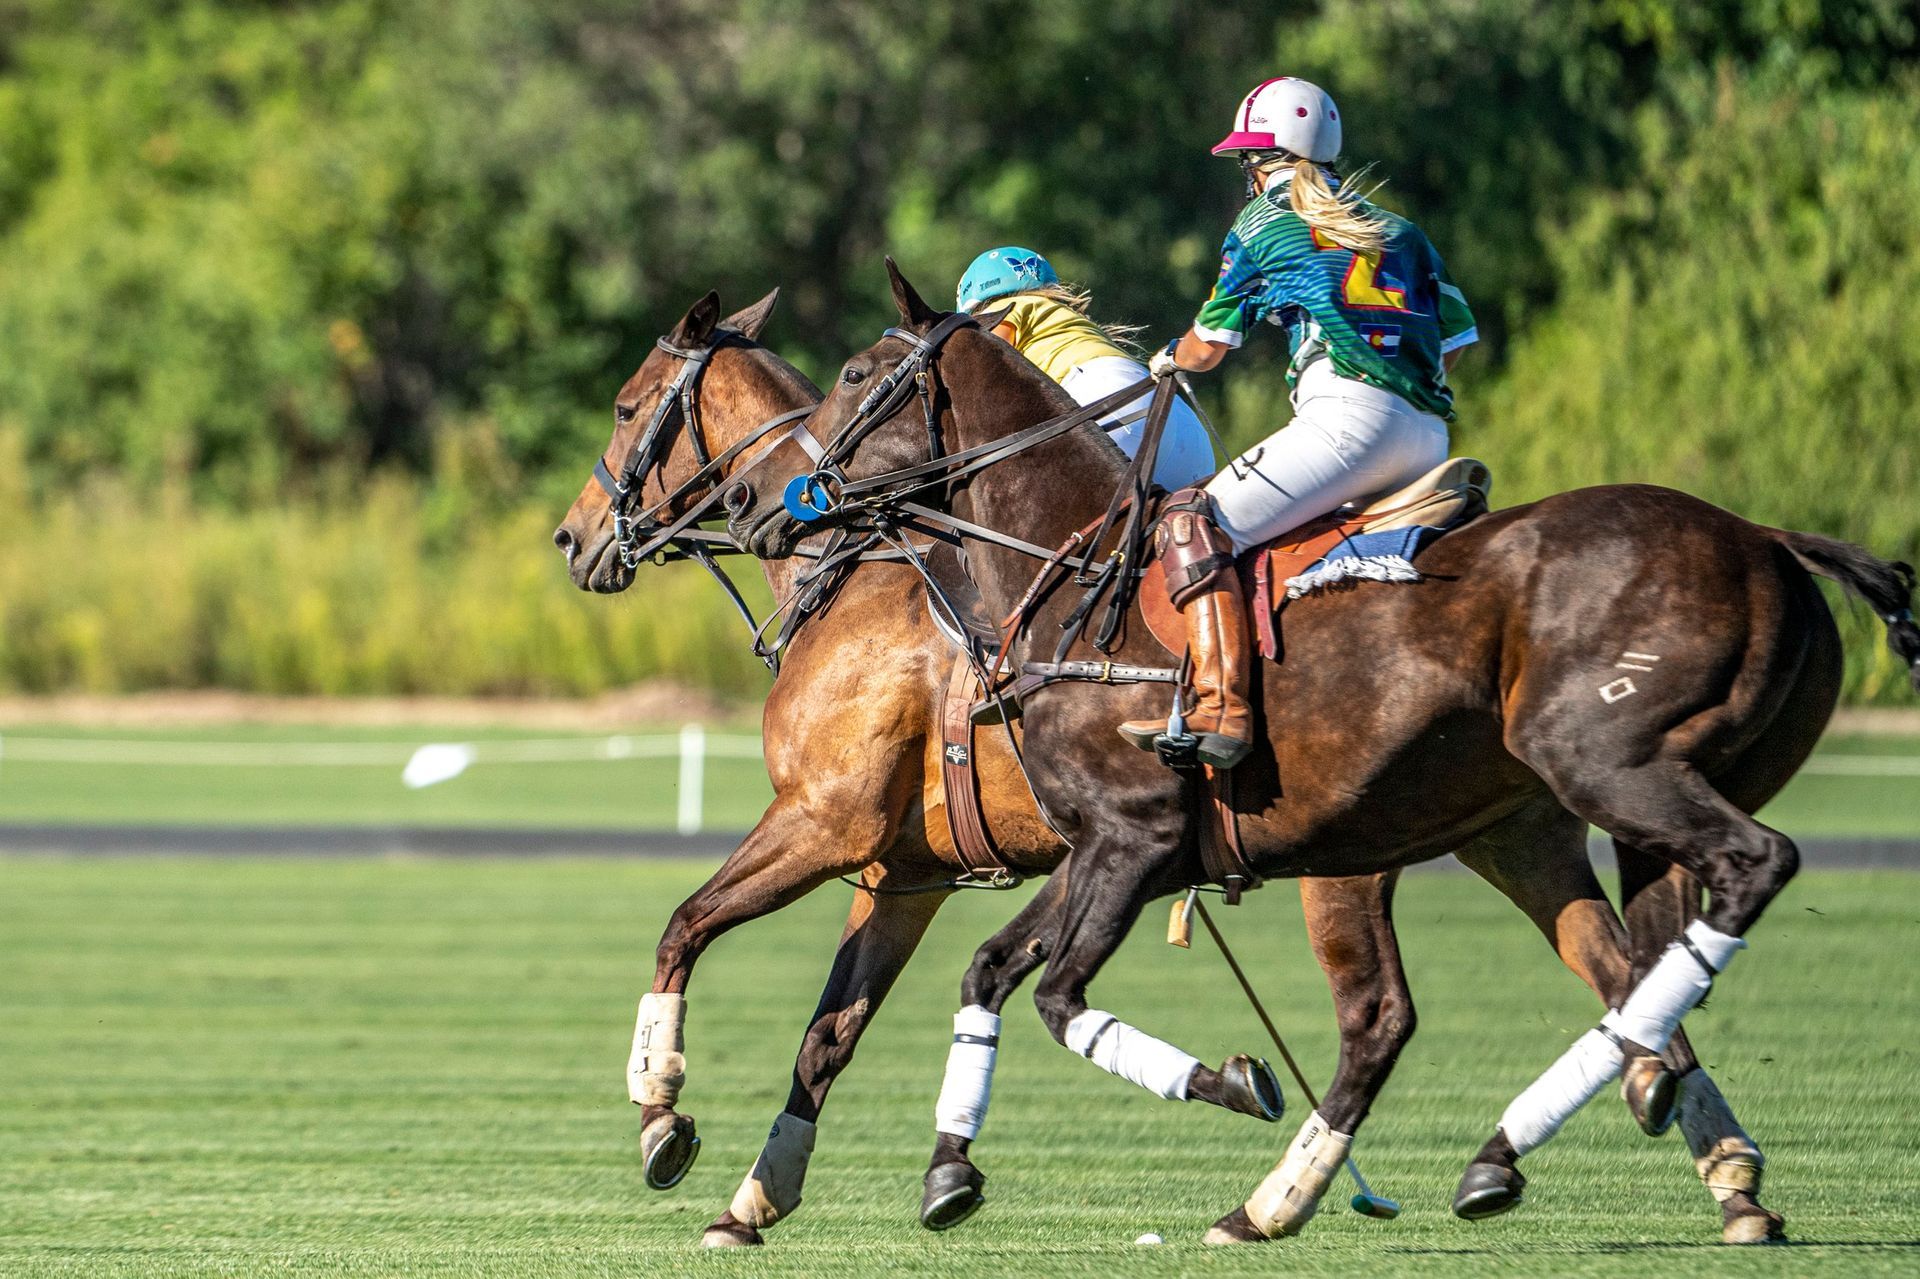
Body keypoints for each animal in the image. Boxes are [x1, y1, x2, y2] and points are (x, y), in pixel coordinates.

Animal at [719, 260, 1920, 1244]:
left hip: (1598, 766)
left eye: (860, 372)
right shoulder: (1103, 846)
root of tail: (1765, 538)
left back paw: (1408, 1167)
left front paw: (1234, 1079)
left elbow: (1059, 997)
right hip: (1548, 812)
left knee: (1735, 876)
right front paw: (948, 1174)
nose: (767, 503)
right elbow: (993, 968)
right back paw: (1510, 1153)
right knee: (1611, 969)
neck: (1069, 572)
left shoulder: (1130, 836)